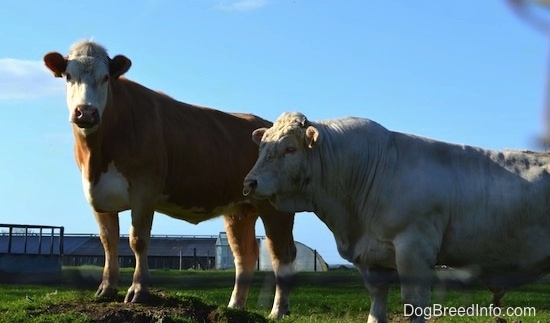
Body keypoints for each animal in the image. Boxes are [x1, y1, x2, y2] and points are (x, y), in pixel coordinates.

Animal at [44, 40, 298, 318]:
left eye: (105, 77)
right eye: (69, 76)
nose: (86, 112)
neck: (98, 157)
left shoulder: (145, 191)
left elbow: (138, 240)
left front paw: (138, 291)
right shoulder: (98, 195)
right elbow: (108, 241)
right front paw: (106, 289)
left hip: (276, 208)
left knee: (282, 254)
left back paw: (278, 310)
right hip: (239, 210)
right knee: (245, 255)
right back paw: (234, 307)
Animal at [246, 112, 550, 323]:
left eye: (290, 149)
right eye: (262, 148)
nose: (249, 182)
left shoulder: (414, 250)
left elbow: (413, 304)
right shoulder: (372, 261)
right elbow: (377, 306)